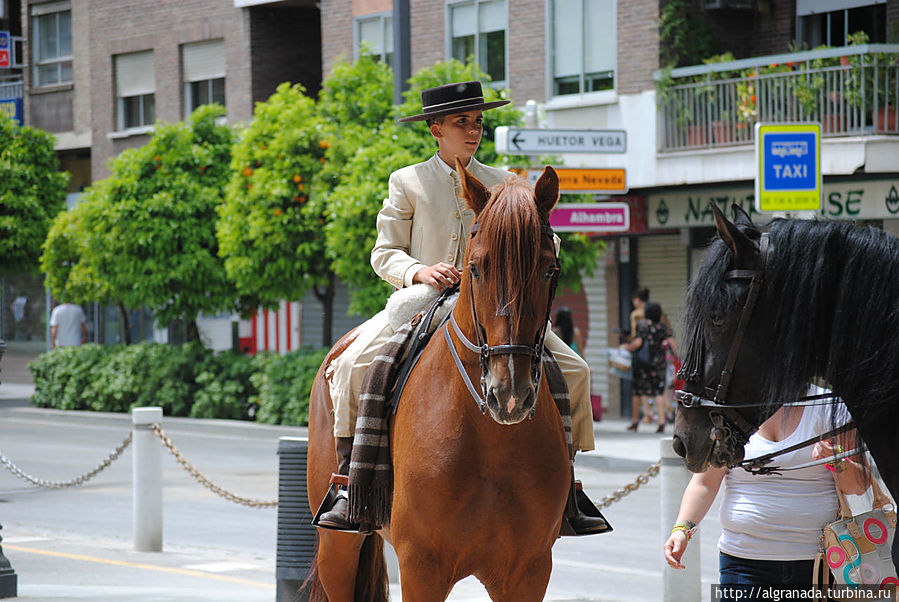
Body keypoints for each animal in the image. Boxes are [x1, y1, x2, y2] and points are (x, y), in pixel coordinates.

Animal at [304, 162, 568, 596]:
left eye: (550, 269)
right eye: (475, 268)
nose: (509, 395)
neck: (492, 441)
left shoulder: (529, 570)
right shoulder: (421, 566)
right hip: (337, 547)